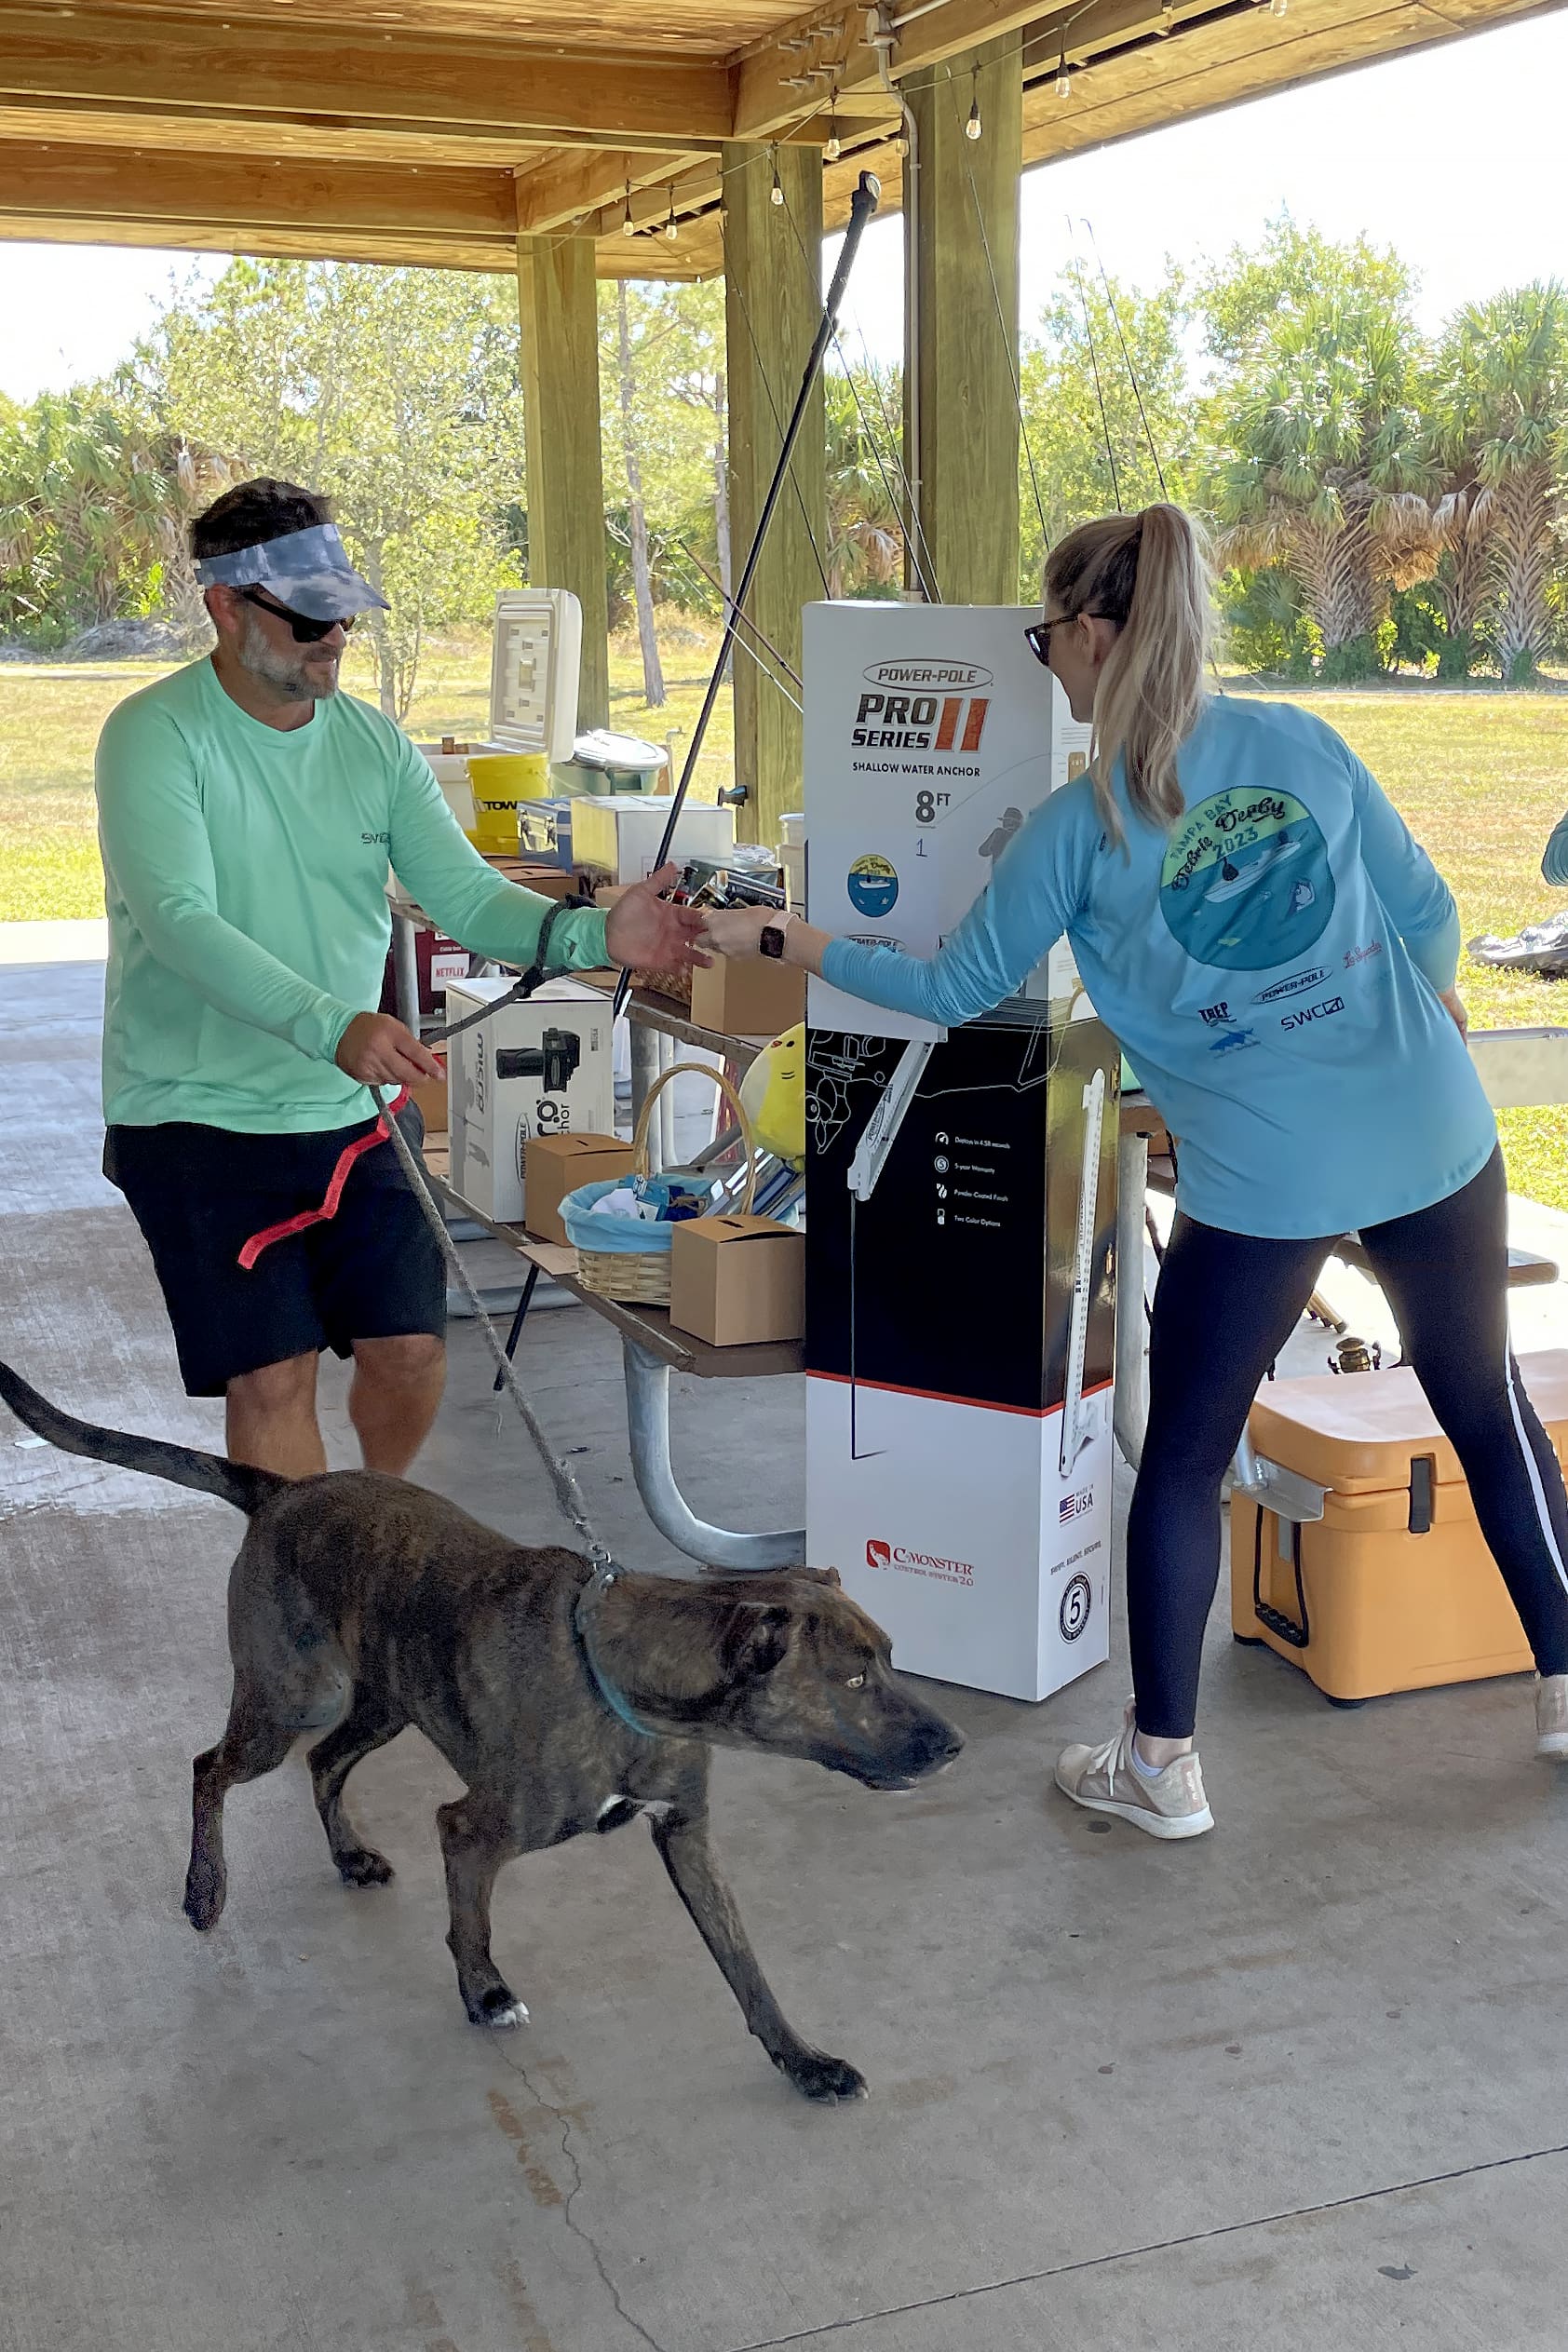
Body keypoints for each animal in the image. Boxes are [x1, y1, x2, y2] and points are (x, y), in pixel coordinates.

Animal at [0, 1354, 964, 2107]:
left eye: (888, 1659)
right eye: (852, 1679)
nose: (954, 1746)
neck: (622, 1682)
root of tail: (283, 1491)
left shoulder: (688, 1836)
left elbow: (747, 1968)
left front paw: (804, 2062)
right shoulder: (472, 1829)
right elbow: (473, 1923)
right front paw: (485, 1994)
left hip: (383, 1703)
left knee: (325, 1764)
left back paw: (347, 1855)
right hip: (290, 1701)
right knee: (211, 1765)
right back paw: (206, 1892)